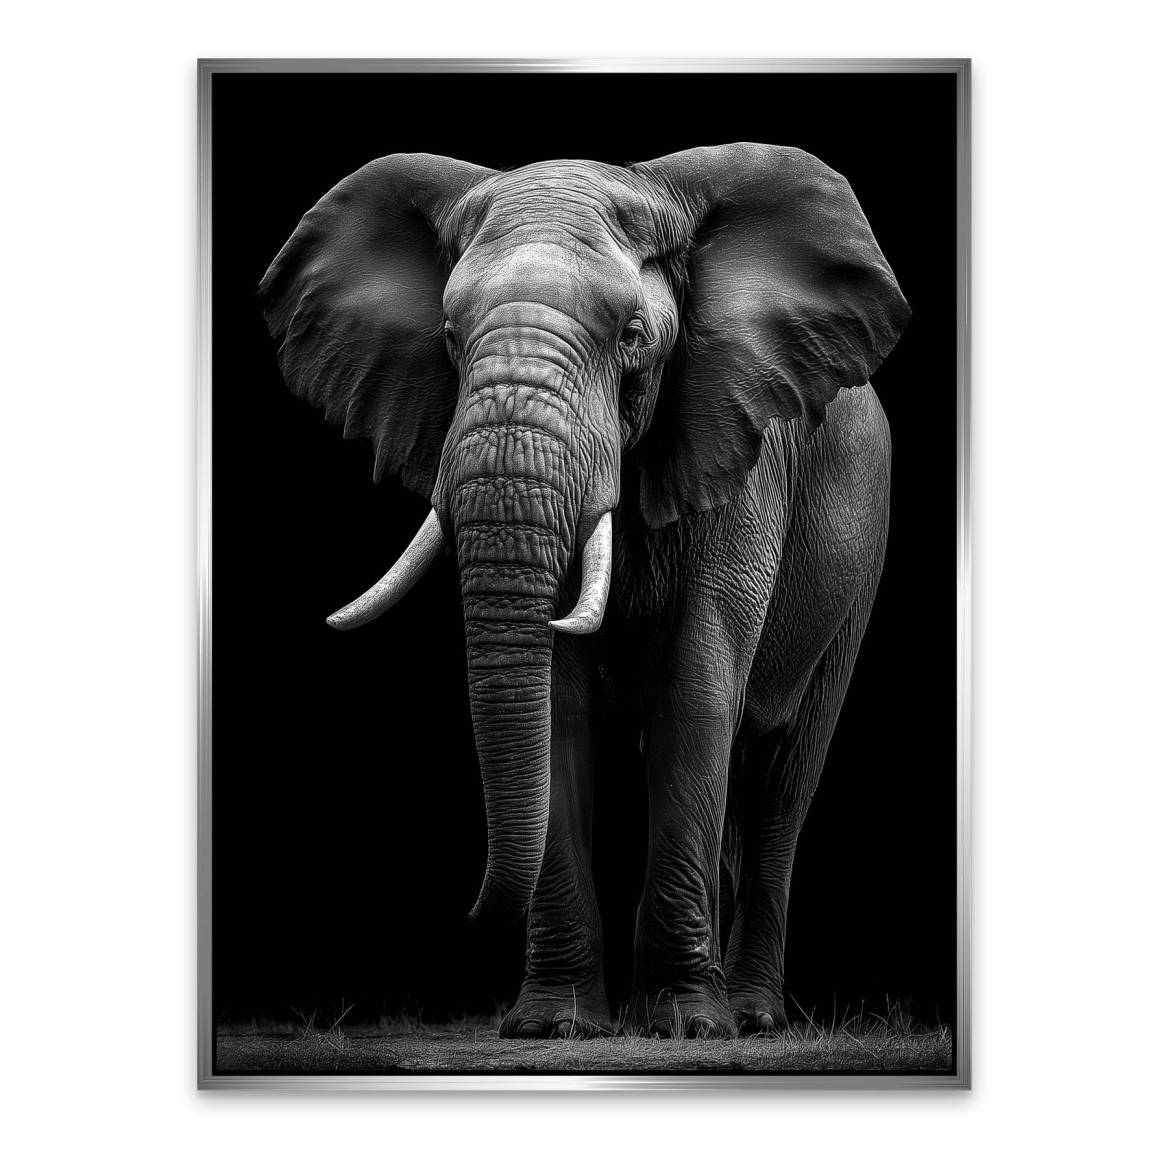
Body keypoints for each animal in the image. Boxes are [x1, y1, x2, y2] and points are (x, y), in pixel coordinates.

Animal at [260, 143, 909, 1039]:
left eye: (633, 337)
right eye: (450, 339)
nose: (464, 912)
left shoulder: (737, 452)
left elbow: (697, 687)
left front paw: (686, 1027)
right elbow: (558, 706)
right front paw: (553, 1025)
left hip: (860, 548)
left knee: (781, 777)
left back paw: (749, 1015)